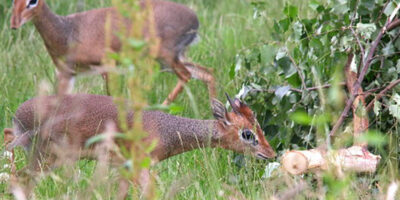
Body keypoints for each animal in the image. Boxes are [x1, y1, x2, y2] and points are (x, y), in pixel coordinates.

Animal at [3, 94, 276, 198]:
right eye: (247, 133)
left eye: (260, 128)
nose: (270, 153)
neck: (166, 130)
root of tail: (19, 115)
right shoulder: (141, 165)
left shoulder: (126, 167)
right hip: (44, 158)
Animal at [10, 0, 216, 104]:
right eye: (14, 1)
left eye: (33, 1)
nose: (13, 24)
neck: (68, 31)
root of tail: (195, 19)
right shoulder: (67, 73)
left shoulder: (106, 66)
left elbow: (111, 96)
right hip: (171, 59)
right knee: (207, 73)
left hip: (165, 57)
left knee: (187, 75)